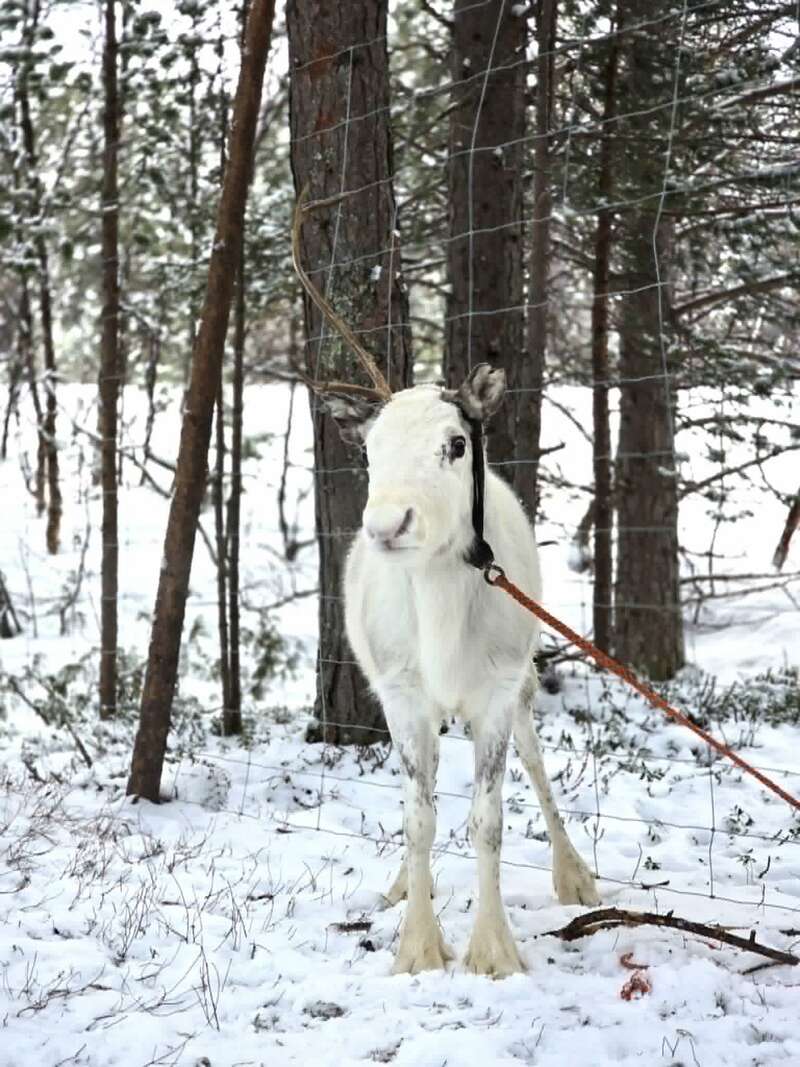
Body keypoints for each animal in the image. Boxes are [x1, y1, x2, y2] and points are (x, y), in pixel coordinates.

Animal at [293, 192, 599, 978]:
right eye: (368, 448)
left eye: (456, 442)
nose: (387, 523)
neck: (439, 618)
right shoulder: (402, 694)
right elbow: (419, 816)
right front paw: (418, 946)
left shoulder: (493, 689)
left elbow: (488, 819)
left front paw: (493, 951)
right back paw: (403, 885)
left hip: (522, 681)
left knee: (536, 761)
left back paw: (574, 872)